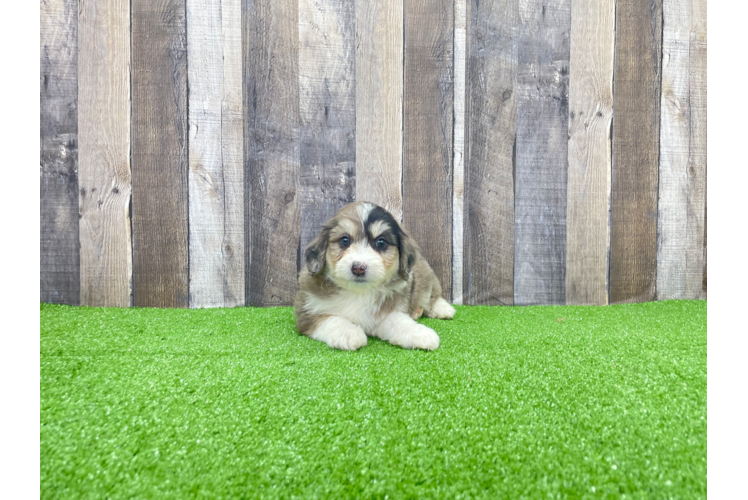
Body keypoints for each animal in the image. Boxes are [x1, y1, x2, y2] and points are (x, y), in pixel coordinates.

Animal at [294, 201, 456, 350]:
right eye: (344, 240)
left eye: (381, 242)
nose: (358, 268)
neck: (359, 292)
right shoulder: (307, 313)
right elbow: (332, 319)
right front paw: (348, 332)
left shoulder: (385, 313)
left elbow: (399, 321)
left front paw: (419, 333)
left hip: (426, 276)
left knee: (431, 295)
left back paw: (442, 309)